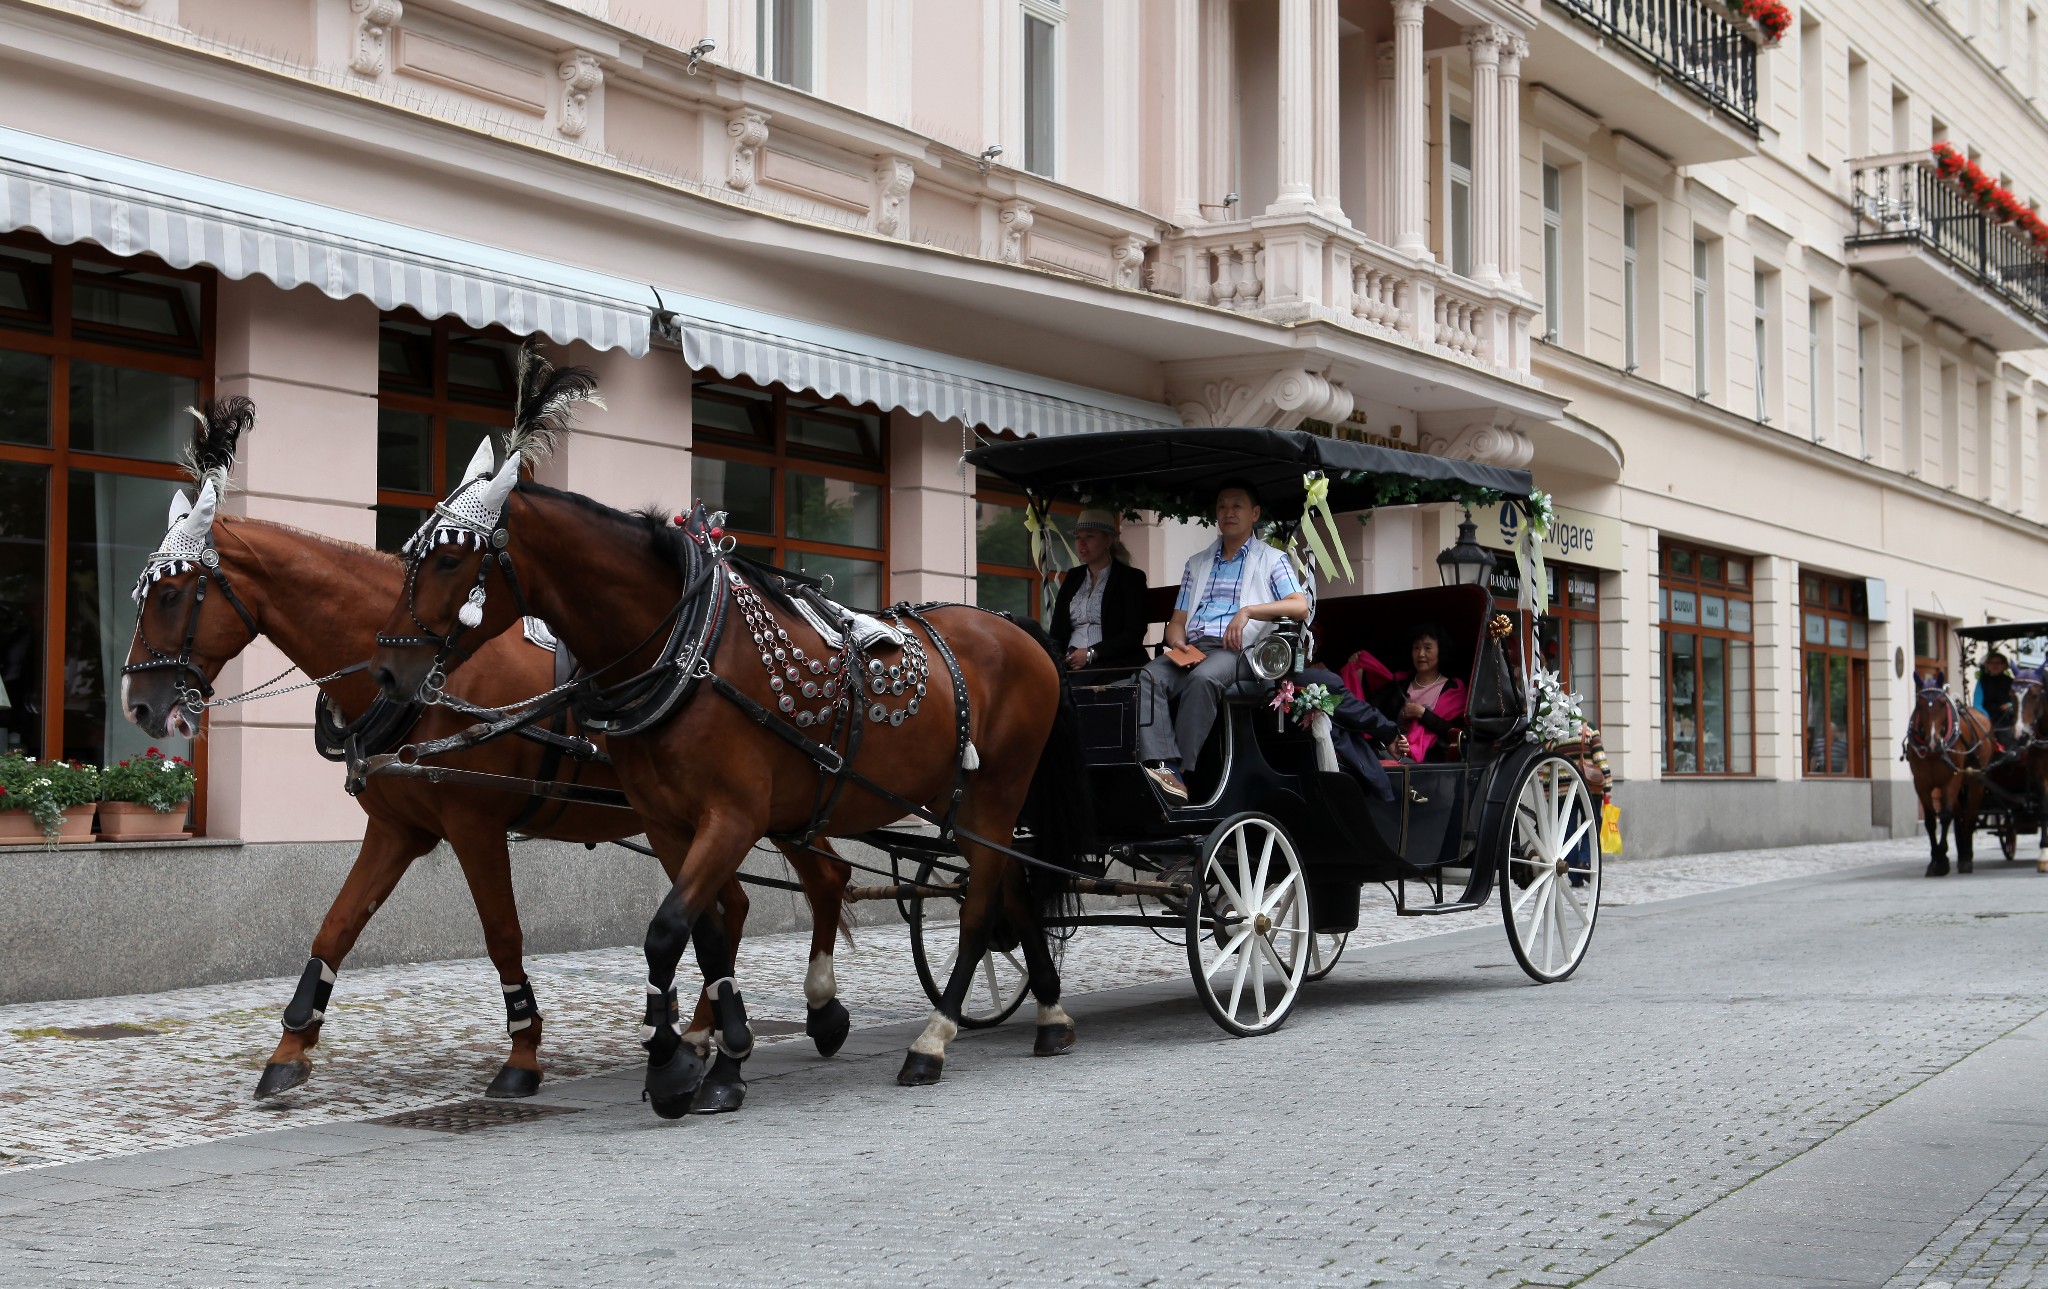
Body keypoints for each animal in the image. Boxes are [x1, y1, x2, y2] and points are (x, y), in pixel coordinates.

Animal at [121, 399, 856, 1106]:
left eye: (170, 594)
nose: (138, 705)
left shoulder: (475, 825)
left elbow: (502, 932)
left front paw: (523, 1053)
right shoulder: (397, 828)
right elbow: (335, 928)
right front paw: (290, 1048)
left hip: (770, 802)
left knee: (819, 880)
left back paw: (810, 1011)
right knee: (739, 904)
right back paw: (713, 1031)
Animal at [366, 346, 1089, 1114]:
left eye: (448, 557)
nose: (384, 671)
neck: (687, 650)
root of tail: (1015, 628)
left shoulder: (734, 816)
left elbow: (666, 931)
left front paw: (678, 1059)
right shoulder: (668, 821)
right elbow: (707, 930)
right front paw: (716, 1056)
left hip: (999, 788)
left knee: (980, 904)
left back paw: (934, 1037)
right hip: (971, 797)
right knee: (1011, 887)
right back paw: (1048, 1013)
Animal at [1892, 684, 1990, 872]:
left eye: (1943, 703)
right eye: (1919, 703)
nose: (1933, 741)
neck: (1933, 753)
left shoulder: (1952, 779)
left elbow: (1945, 816)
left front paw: (1941, 861)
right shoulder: (1921, 784)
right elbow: (1931, 821)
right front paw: (1937, 859)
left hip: (1976, 781)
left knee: (1970, 814)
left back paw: (1967, 857)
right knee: (1960, 814)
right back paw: (1962, 851)